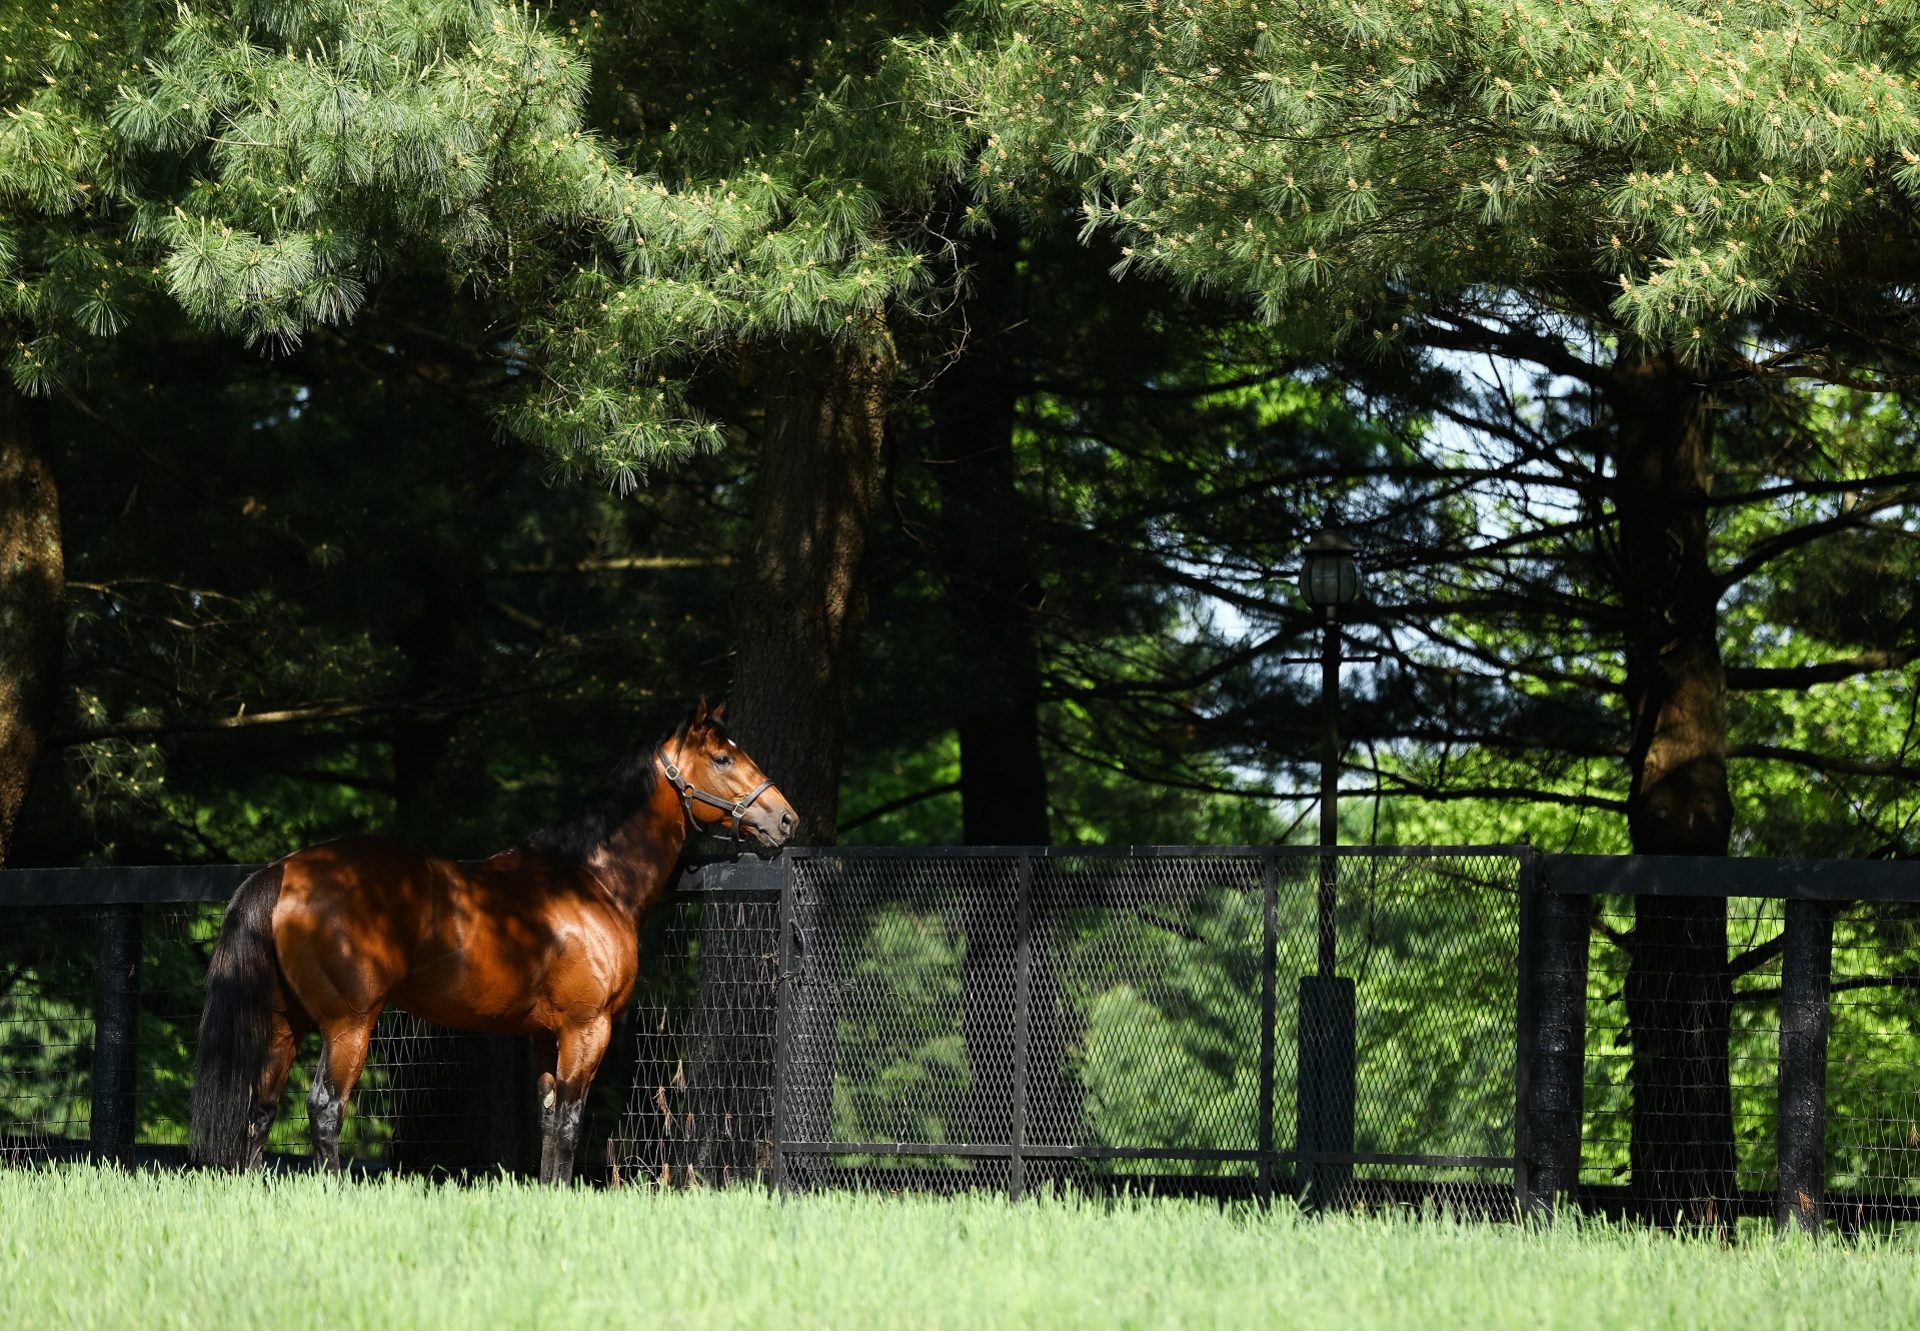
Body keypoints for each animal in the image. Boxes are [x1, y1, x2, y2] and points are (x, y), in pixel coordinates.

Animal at [187, 699, 794, 1175]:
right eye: (722, 758)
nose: (785, 819)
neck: (592, 880)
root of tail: (285, 870)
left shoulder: (546, 1036)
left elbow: (548, 1121)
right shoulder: (587, 1028)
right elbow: (570, 1122)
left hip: (283, 1025)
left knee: (261, 1109)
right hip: (348, 1026)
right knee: (324, 1106)